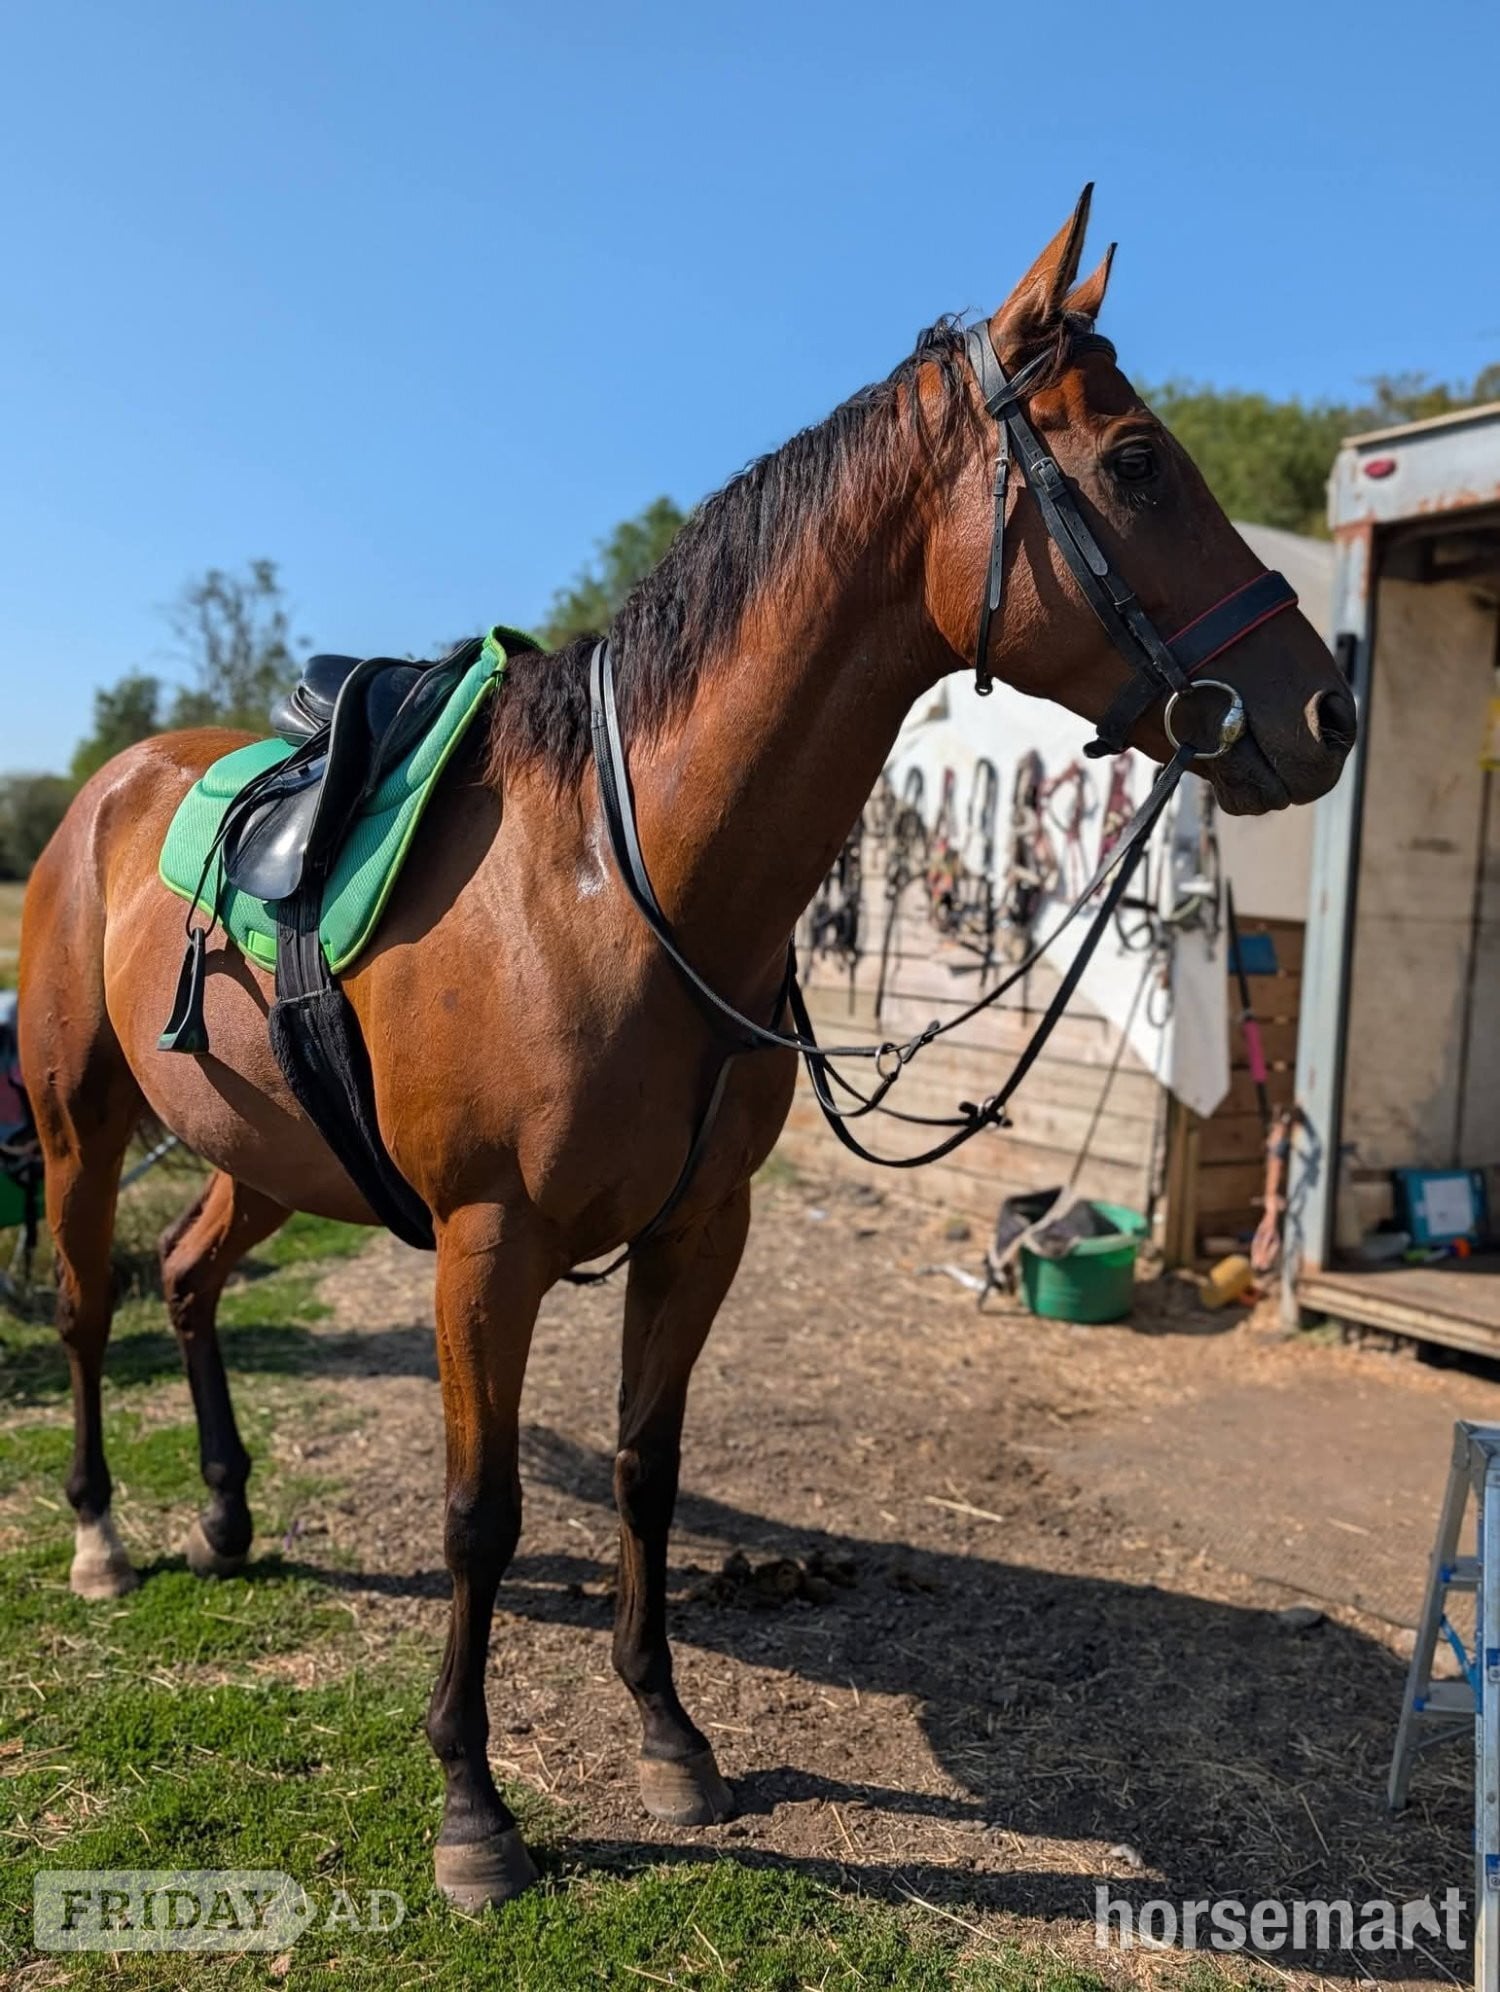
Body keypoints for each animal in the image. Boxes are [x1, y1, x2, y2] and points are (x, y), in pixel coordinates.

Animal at [18, 189, 1355, 1908]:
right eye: (1132, 461)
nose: (1324, 712)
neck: (615, 874)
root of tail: (109, 794)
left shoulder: (698, 1232)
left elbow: (644, 1470)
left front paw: (669, 1735)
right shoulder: (488, 1246)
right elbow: (481, 1511)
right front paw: (474, 1808)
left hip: (264, 1151)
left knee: (184, 1281)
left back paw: (229, 1519)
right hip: (77, 1124)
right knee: (82, 1312)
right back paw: (103, 1537)